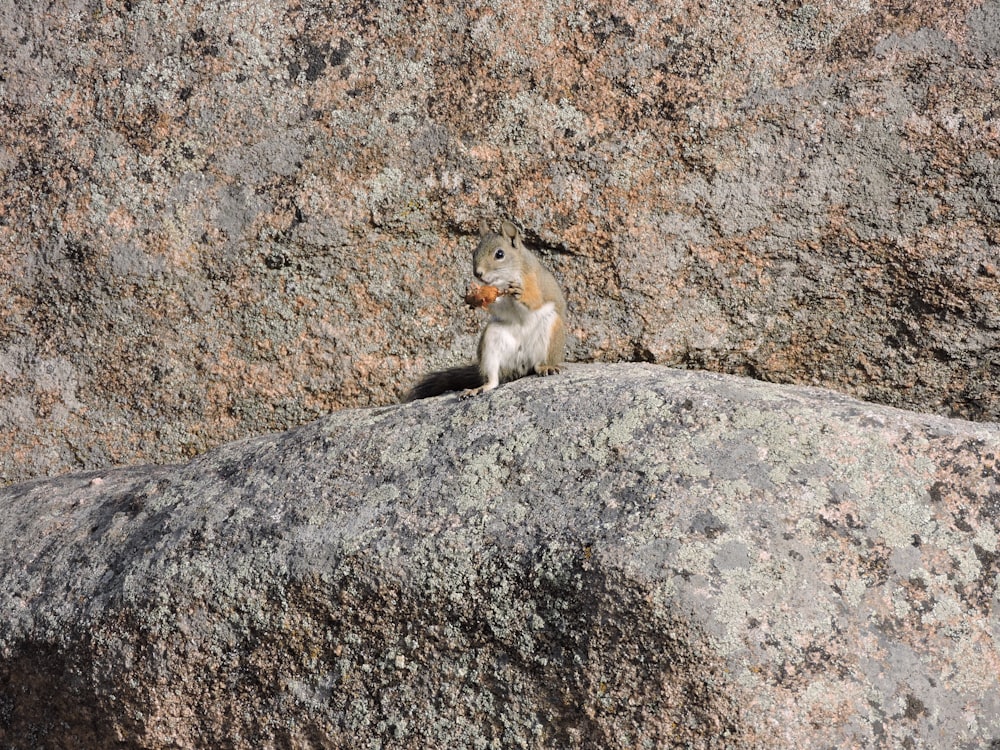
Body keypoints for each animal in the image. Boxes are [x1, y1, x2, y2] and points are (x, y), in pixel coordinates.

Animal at [402, 219, 568, 402]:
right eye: (474, 252)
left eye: (500, 254)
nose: (478, 273)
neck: (505, 280)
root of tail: (522, 364)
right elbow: (498, 305)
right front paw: (474, 294)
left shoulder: (535, 281)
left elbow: (536, 300)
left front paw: (520, 293)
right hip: (492, 340)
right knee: (493, 380)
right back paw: (478, 389)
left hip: (550, 332)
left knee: (539, 364)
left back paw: (547, 368)